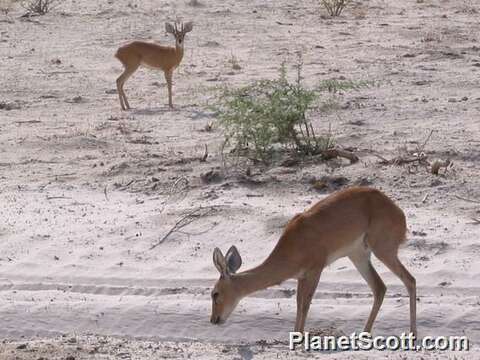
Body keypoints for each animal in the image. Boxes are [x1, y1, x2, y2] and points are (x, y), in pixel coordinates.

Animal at [210, 187, 416, 336]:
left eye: (215, 293)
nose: (214, 320)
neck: (294, 245)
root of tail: (399, 212)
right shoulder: (301, 276)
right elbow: (298, 302)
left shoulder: (316, 270)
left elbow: (306, 303)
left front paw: (300, 338)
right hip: (358, 256)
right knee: (380, 287)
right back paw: (364, 334)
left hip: (383, 250)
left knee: (409, 280)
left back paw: (412, 334)